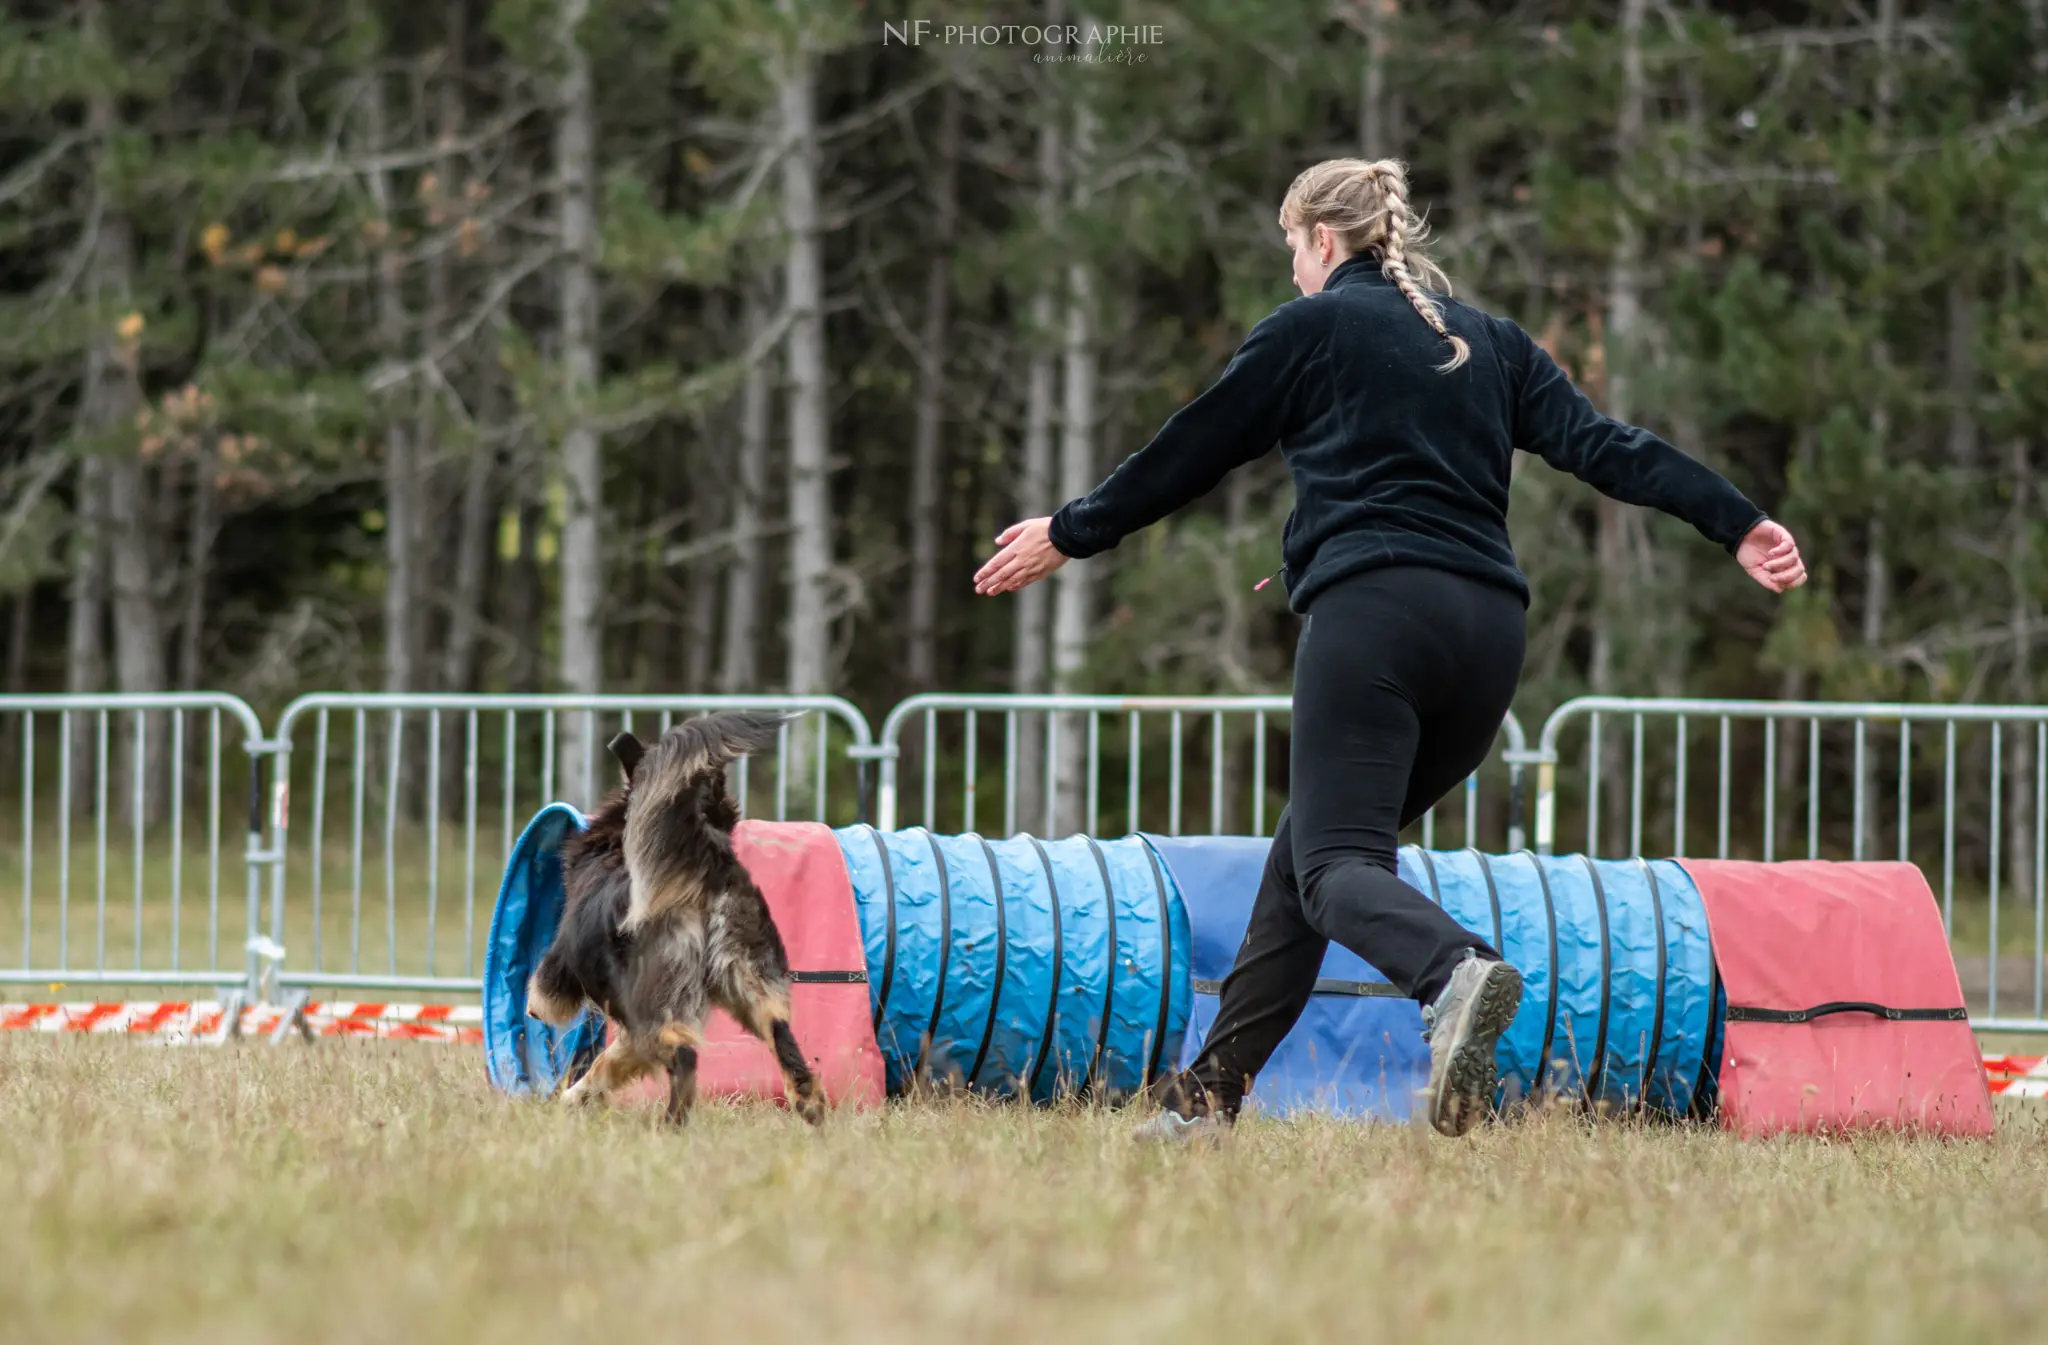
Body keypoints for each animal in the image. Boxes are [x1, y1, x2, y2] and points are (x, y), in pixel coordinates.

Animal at [528, 708, 831, 1130]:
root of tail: (707, 864)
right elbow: (607, 1063)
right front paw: (575, 1097)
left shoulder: (566, 960)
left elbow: (543, 993)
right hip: (750, 981)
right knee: (781, 1034)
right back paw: (808, 1103)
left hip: (659, 1000)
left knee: (684, 1058)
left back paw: (671, 1125)